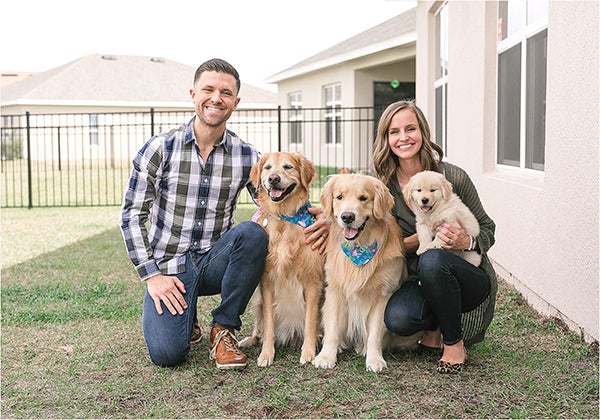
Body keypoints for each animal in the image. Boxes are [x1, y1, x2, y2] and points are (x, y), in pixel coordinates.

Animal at [237, 153, 326, 366]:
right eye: (268, 168)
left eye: (288, 167)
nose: (273, 179)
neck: (285, 218)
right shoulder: (267, 283)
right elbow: (269, 324)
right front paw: (266, 354)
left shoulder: (313, 282)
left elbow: (310, 322)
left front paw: (308, 352)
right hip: (257, 303)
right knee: (259, 329)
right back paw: (250, 340)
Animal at [312, 172, 410, 372]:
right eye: (339, 197)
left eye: (364, 198)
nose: (347, 217)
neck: (359, 247)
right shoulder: (334, 290)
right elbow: (332, 329)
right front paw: (326, 356)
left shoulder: (383, 295)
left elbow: (375, 333)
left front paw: (374, 359)